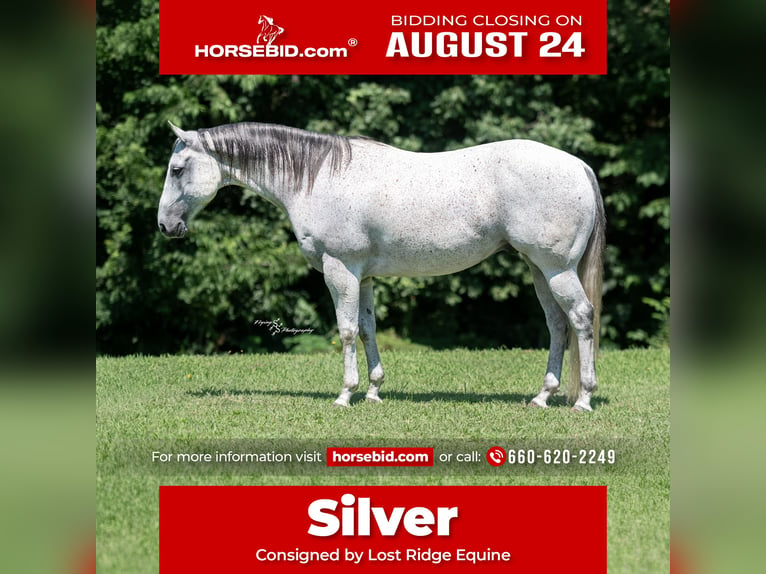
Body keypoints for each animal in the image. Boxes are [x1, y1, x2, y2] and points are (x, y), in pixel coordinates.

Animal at [157, 121, 605, 411]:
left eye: (177, 170)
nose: (165, 225)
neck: (319, 177)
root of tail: (578, 165)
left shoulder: (340, 269)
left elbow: (346, 330)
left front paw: (345, 395)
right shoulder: (365, 276)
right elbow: (368, 329)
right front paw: (373, 392)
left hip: (556, 270)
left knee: (581, 318)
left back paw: (583, 399)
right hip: (539, 270)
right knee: (557, 325)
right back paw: (542, 397)